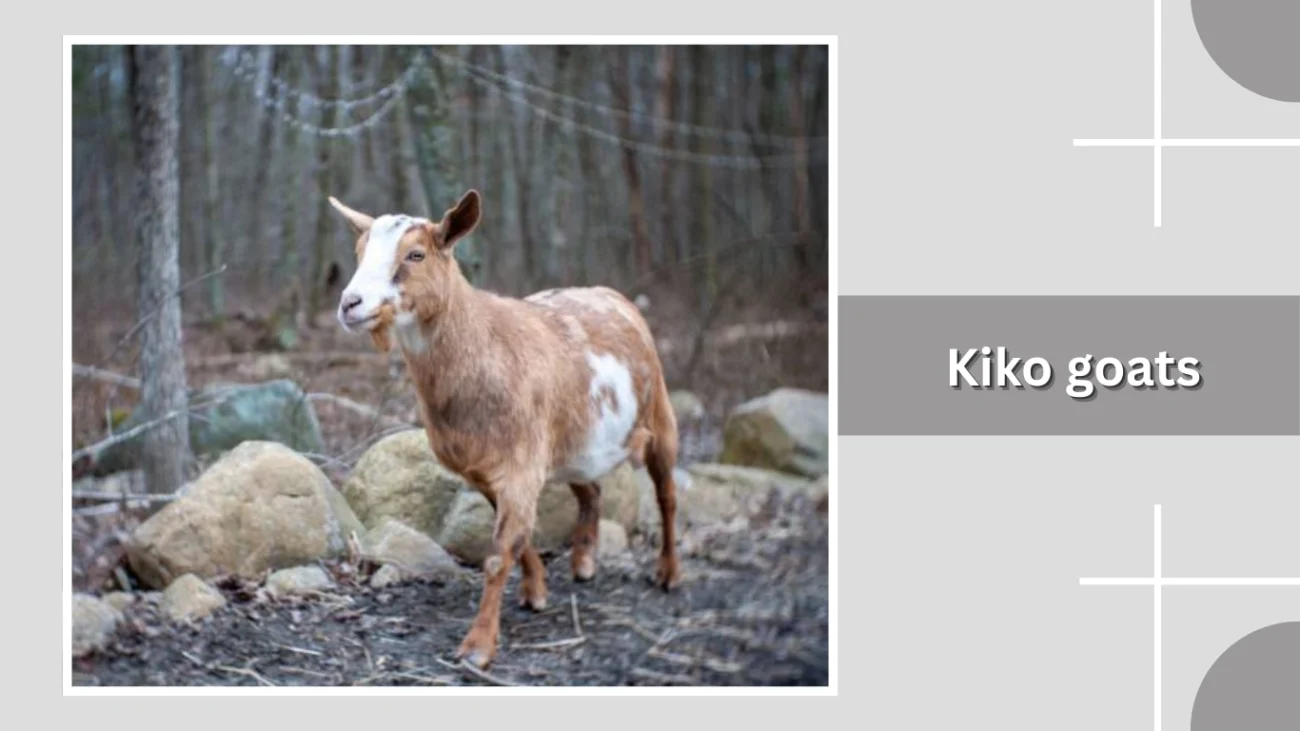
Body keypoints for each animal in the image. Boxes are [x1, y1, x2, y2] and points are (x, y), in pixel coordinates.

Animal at [328, 189, 682, 668]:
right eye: (359, 251)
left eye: (416, 254)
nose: (351, 304)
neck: (486, 348)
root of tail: (615, 297)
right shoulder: (488, 469)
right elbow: (518, 538)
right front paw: (535, 591)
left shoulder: (519, 466)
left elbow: (497, 556)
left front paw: (477, 647)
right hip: (572, 443)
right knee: (591, 489)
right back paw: (584, 562)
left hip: (660, 417)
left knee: (667, 496)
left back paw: (669, 574)